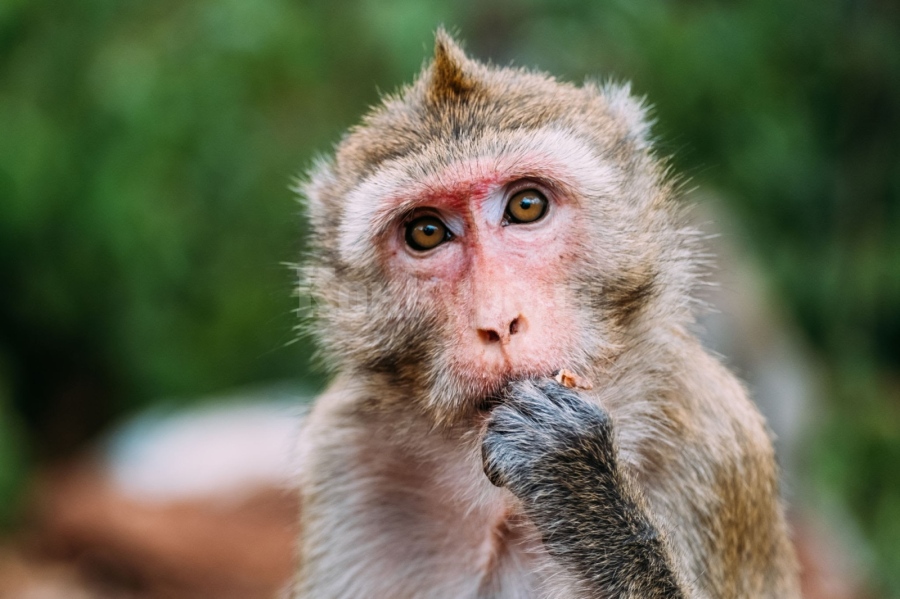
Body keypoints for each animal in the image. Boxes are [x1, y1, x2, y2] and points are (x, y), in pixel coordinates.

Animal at [290, 30, 800, 596]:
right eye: (426, 232)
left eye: (527, 205)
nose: (499, 322)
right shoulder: (346, 457)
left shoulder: (716, 441)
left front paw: (577, 481)